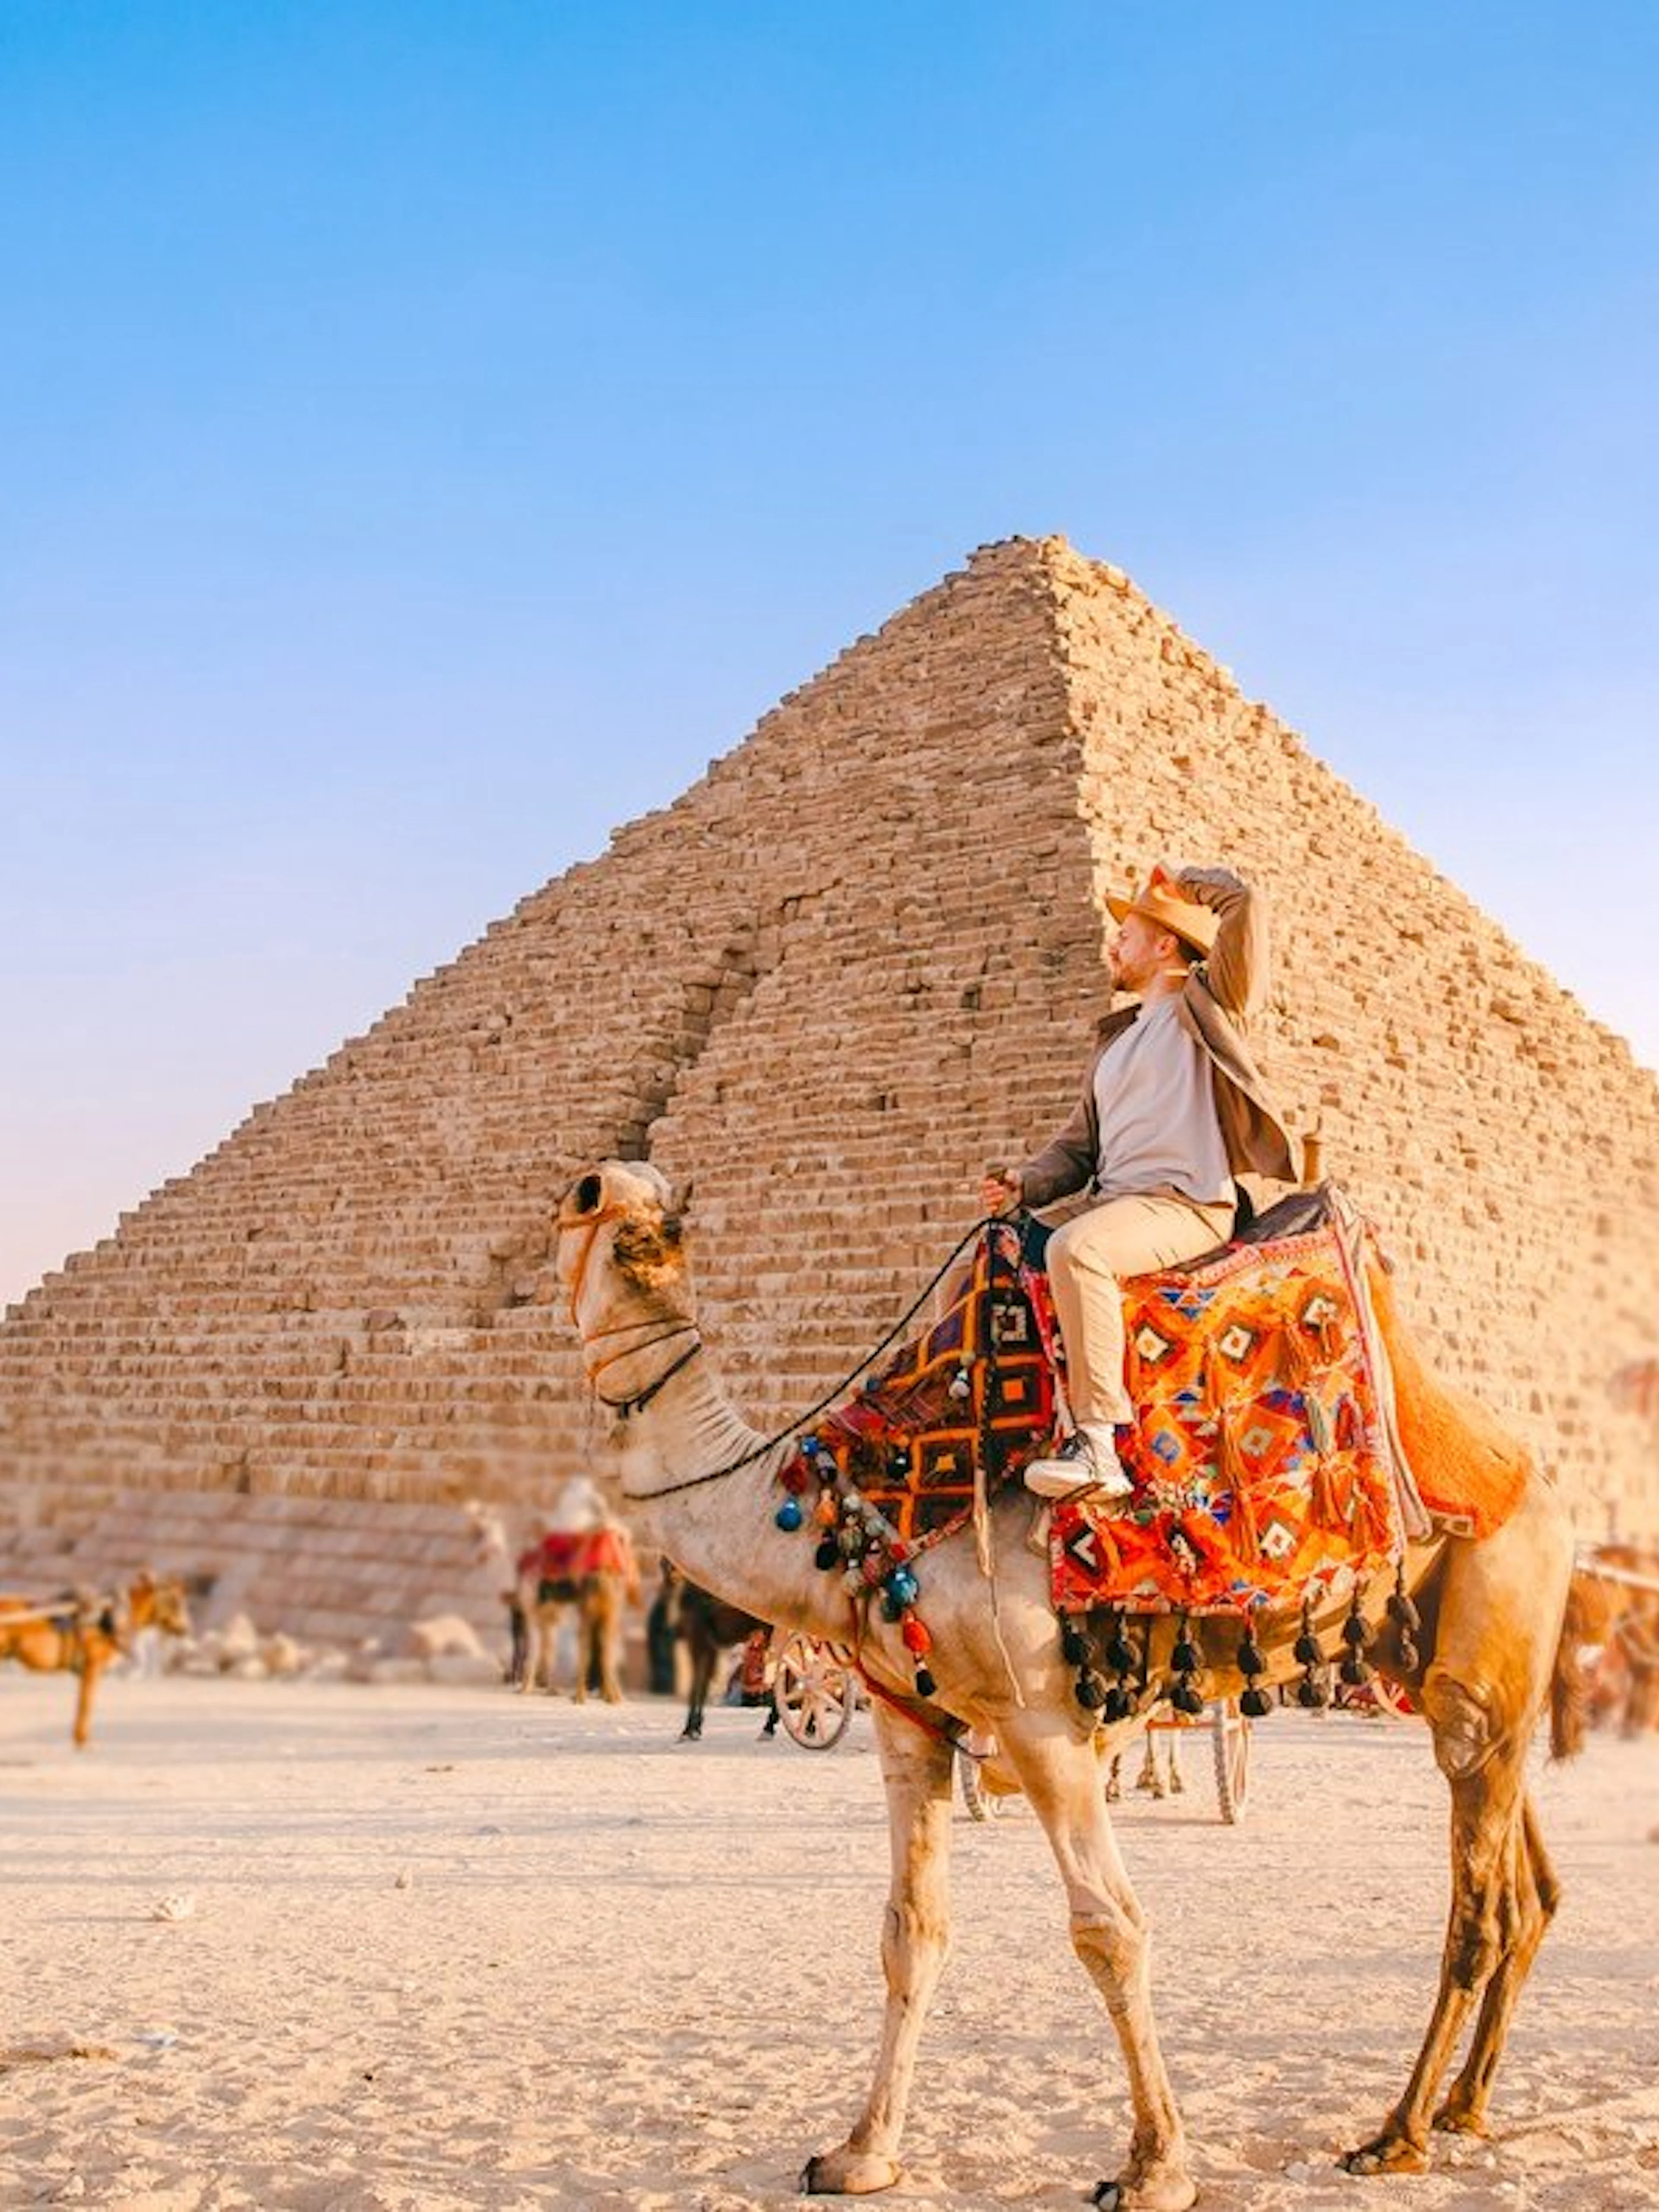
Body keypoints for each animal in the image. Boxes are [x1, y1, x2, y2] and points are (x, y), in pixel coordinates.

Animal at [0, 1571, 192, 1748]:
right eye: (174, 1601)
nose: (185, 1629)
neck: (113, 1617)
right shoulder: (93, 1666)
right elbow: (86, 1703)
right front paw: (82, 1740)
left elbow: (84, 1702)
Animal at [555, 1161, 1576, 2208]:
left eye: (606, 1208)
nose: (621, 1187)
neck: (850, 1511)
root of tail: (1528, 1472)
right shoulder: (908, 1719)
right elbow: (911, 1929)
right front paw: (860, 2152)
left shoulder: (1040, 1720)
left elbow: (1109, 1931)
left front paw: (1156, 2167)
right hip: (1439, 1654)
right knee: (1527, 1886)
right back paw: (1463, 2107)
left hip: (1494, 1610)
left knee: (1478, 1903)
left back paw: (1398, 2132)